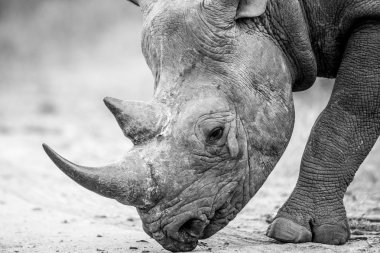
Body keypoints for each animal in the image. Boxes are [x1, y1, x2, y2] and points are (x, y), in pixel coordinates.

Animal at [41, 0, 380, 251]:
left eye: (215, 133)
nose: (169, 233)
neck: (282, 13)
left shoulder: (373, 18)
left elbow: (346, 115)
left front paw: (291, 232)